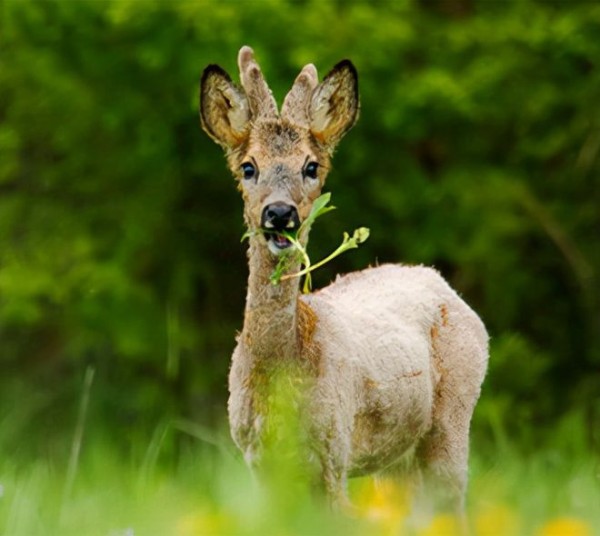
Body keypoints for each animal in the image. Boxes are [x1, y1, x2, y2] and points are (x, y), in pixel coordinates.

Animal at [199, 46, 490, 524]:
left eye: (311, 166)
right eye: (248, 167)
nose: (279, 214)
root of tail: (439, 281)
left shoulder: (333, 446)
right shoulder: (256, 455)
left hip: (454, 413)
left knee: (452, 505)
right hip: (395, 459)